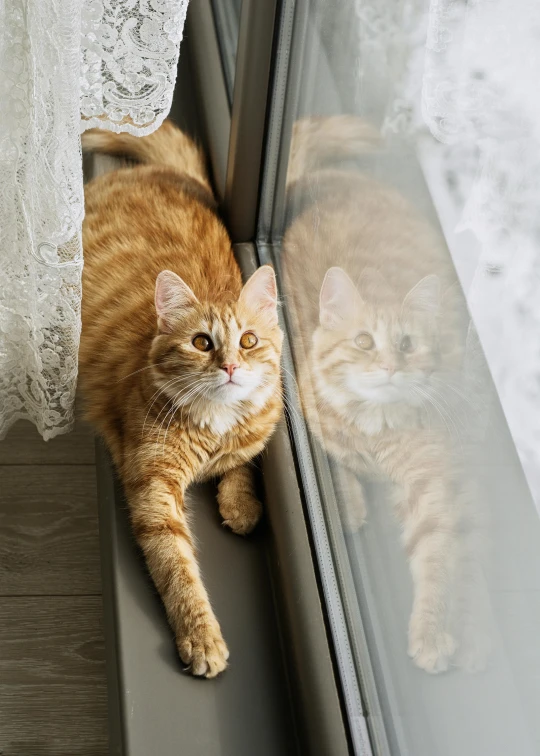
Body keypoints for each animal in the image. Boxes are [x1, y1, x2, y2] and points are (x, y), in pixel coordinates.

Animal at [81, 121, 282, 676]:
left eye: (248, 341)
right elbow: (177, 568)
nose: (231, 367)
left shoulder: (253, 434)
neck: (214, 424)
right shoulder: (153, 487)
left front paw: (241, 504)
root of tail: (169, 174)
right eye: (202, 343)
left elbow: (244, 461)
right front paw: (202, 637)